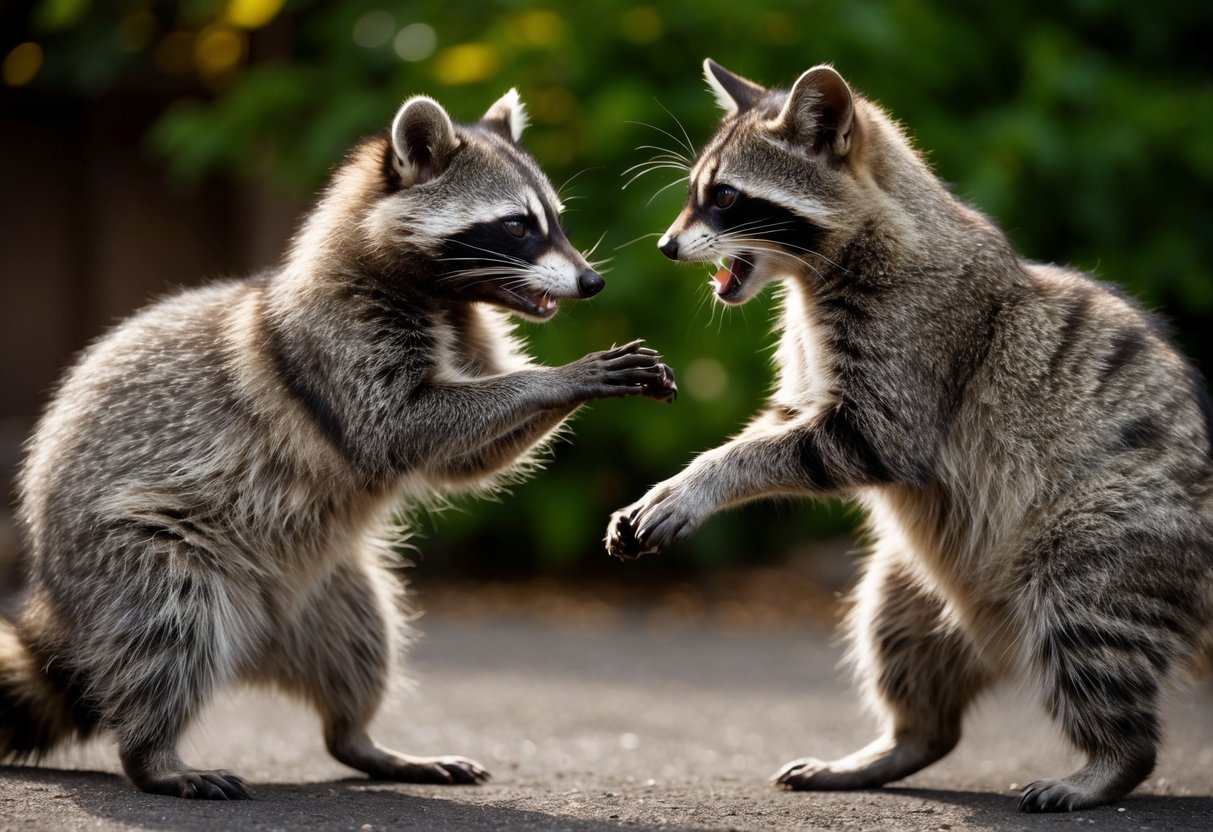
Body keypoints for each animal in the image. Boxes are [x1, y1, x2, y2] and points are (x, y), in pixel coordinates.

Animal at [4, 89, 676, 799]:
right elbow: (404, 426)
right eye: (518, 226)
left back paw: (362, 739)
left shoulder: (461, 329)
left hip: (328, 588)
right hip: (134, 553)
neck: (441, 297)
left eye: (554, 221)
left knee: (362, 644)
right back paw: (153, 755)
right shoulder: (337, 344)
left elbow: (467, 458)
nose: (592, 283)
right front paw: (560, 377)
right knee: (167, 630)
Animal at [606, 60, 1213, 812]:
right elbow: (781, 421)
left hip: (1108, 540)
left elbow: (847, 442)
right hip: (913, 582)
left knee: (1089, 628)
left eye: (723, 197)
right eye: (698, 193)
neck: (818, 267)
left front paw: (706, 479)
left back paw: (1110, 761)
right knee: (902, 648)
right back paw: (901, 741)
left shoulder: (916, 342)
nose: (665, 246)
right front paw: (689, 471)